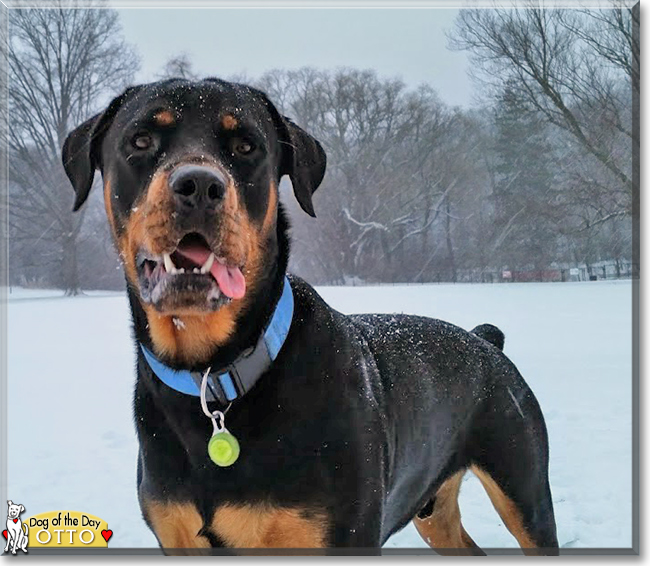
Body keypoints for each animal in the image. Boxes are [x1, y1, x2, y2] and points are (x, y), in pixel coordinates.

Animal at [62, 77, 556, 556]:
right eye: (141, 139)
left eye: (246, 146)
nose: (199, 186)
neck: (213, 376)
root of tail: (485, 339)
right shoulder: (175, 534)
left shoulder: (341, 532)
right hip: (434, 510)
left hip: (522, 478)